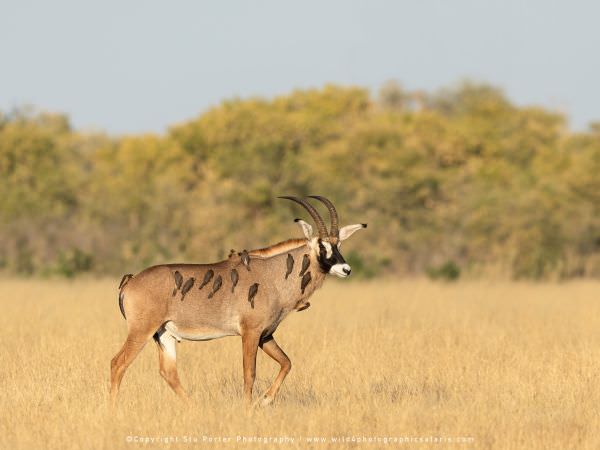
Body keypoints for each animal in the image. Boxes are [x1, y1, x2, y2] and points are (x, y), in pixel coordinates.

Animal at [110, 195, 368, 406]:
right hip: (142, 331)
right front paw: (249, 407)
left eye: (338, 244)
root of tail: (130, 282)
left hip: (164, 334)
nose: (345, 269)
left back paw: (194, 407)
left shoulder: (266, 335)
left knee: (168, 372)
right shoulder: (250, 333)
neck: (272, 274)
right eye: (321, 246)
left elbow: (287, 362)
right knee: (118, 363)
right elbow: (249, 373)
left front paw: (265, 400)